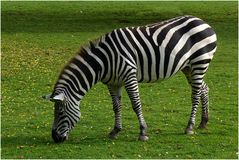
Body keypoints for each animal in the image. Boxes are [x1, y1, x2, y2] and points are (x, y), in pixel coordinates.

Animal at [43, 15, 217, 142]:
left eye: (60, 113)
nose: (55, 138)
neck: (104, 61)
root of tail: (202, 21)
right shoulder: (112, 83)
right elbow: (116, 107)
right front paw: (115, 131)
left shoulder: (129, 76)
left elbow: (136, 104)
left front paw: (143, 132)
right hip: (188, 67)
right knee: (204, 88)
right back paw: (203, 122)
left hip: (200, 61)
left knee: (195, 94)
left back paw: (190, 127)